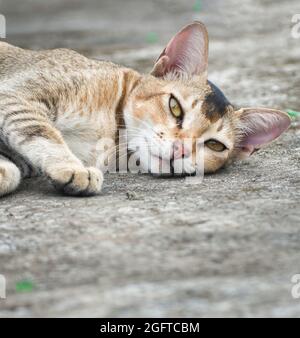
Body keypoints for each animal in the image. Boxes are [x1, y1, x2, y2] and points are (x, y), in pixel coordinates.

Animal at [0, 22, 290, 197]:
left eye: (215, 145)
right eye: (175, 107)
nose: (180, 150)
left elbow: (15, 167)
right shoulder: (16, 95)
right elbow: (40, 131)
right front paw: (72, 168)